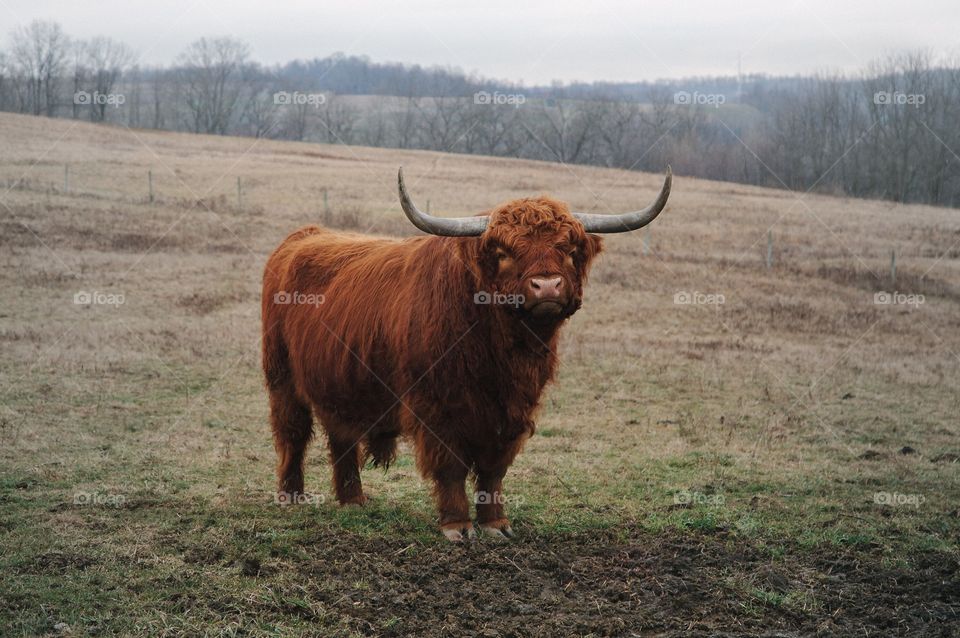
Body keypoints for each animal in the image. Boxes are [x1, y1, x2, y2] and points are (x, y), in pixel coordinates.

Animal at [261, 167, 671, 541]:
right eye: (505, 253)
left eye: (569, 251)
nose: (547, 286)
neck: (499, 351)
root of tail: (305, 235)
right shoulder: (436, 408)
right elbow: (451, 466)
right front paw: (457, 525)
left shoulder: (513, 412)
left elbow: (493, 469)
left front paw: (496, 523)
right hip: (281, 378)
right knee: (293, 433)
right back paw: (292, 497)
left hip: (338, 385)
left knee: (341, 437)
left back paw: (353, 500)